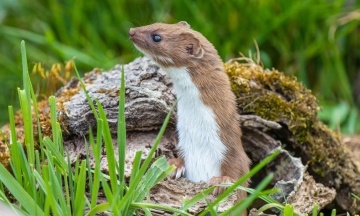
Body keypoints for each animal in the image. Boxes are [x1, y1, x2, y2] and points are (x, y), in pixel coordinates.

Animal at [129, 22, 250, 197]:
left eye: (157, 37)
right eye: (154, 23)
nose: (131, 31)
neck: (198, 134)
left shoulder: (229, 147)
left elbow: (238, 168)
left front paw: (222, 181)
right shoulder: (185, 143)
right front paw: (173, 166)